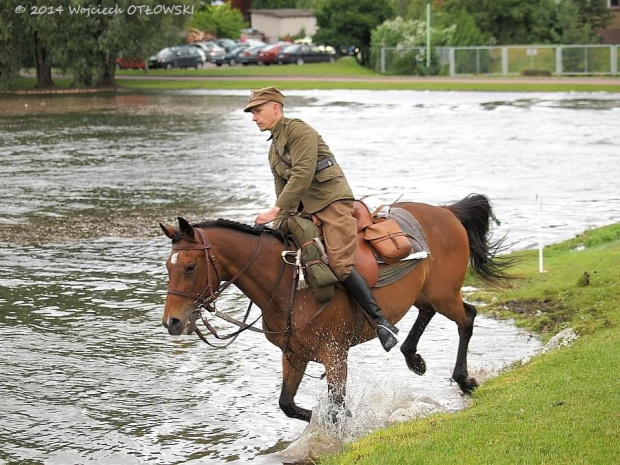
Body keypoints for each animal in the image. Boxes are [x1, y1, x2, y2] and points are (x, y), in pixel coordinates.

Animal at [160, 192, 512, 420]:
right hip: (426, 293)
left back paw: (464, 379)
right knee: (429, 313)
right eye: (167, 266)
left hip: (443, 292)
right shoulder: (294, 354)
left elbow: (335, 406)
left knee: (467, 317)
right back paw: (413, 357)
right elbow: (289, 404)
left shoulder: (335, 354)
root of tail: (446, 211)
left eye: (189, 267)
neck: (288, 282)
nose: (172, 322)